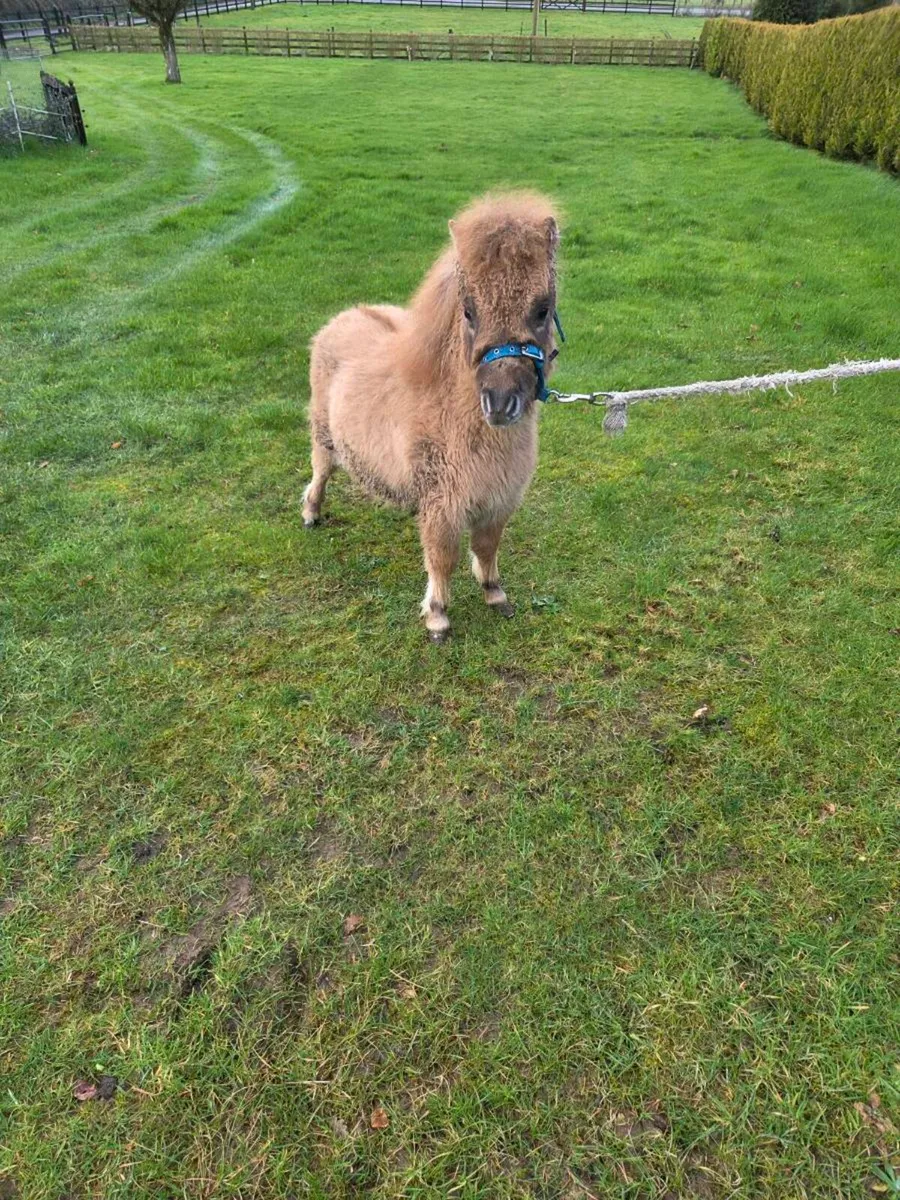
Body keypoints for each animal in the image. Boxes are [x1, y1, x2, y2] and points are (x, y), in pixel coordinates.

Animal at [303, 192, 561, 642]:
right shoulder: (444, 504)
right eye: (469, 311)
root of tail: (342, 317)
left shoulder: (499, 499)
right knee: (320, 472)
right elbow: (442, 556)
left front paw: (494, 593)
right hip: (323, 435)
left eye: (542, 310)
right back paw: (311, 514)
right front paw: (437, 616)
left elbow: (487, 547)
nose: (500, 403)